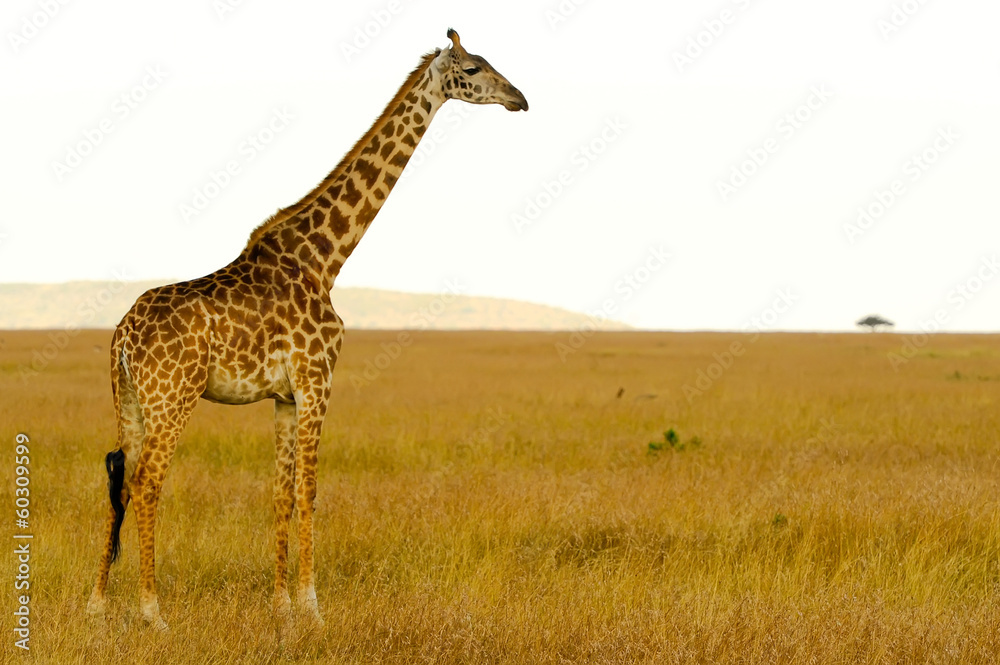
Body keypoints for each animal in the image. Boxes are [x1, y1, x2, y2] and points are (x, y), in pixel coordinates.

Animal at [86, 29, 527, 631]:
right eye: (475, 67)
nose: (519, 98)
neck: (324, 257)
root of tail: (122, 337)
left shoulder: (284, 395)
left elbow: (281, 492)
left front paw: (281, 608)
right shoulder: (318, 380)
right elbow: (310, 490)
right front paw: (313, 608)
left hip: (129, 397)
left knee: (120, 475)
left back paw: (98, 604)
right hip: (173, 396)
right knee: (149, 481)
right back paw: (153, 611)